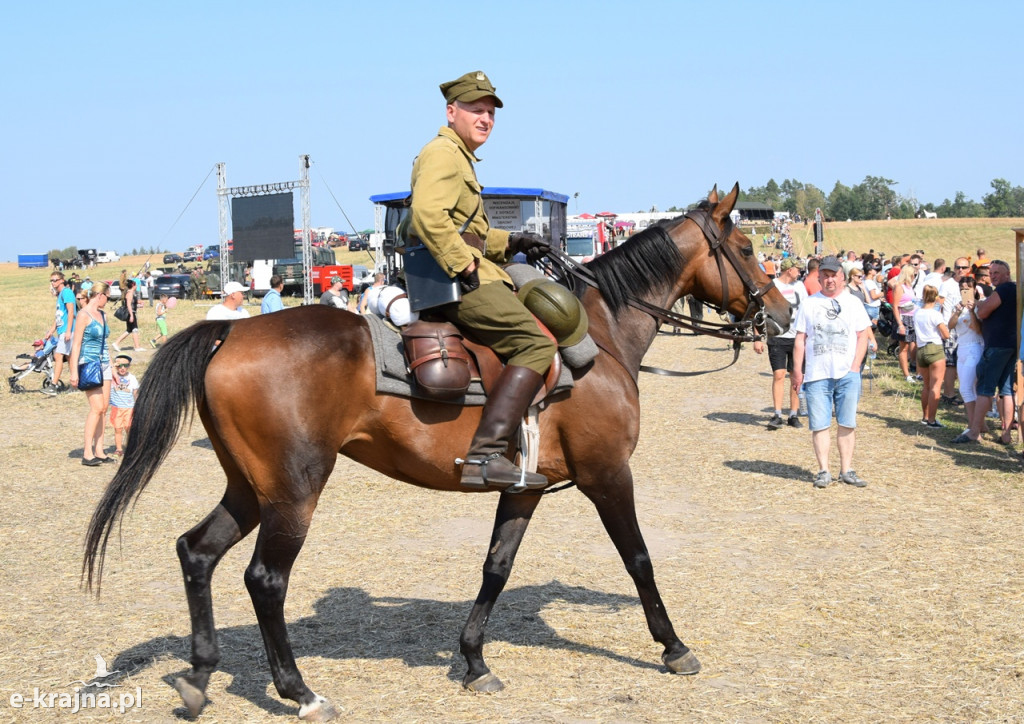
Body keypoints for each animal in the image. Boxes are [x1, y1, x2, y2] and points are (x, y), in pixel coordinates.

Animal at [86, 184, 790, 720]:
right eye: (747, 248)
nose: (780, 316)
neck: (602, 337)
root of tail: (229, 333)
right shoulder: (608, 475)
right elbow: (639, 559)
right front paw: (673, 646)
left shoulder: (526, 488)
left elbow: (495, 569)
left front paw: (474, 659)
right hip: (293, 492)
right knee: (265, 579)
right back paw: (299, 691)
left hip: (249, 489)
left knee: (197, 552)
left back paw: (199, 677)